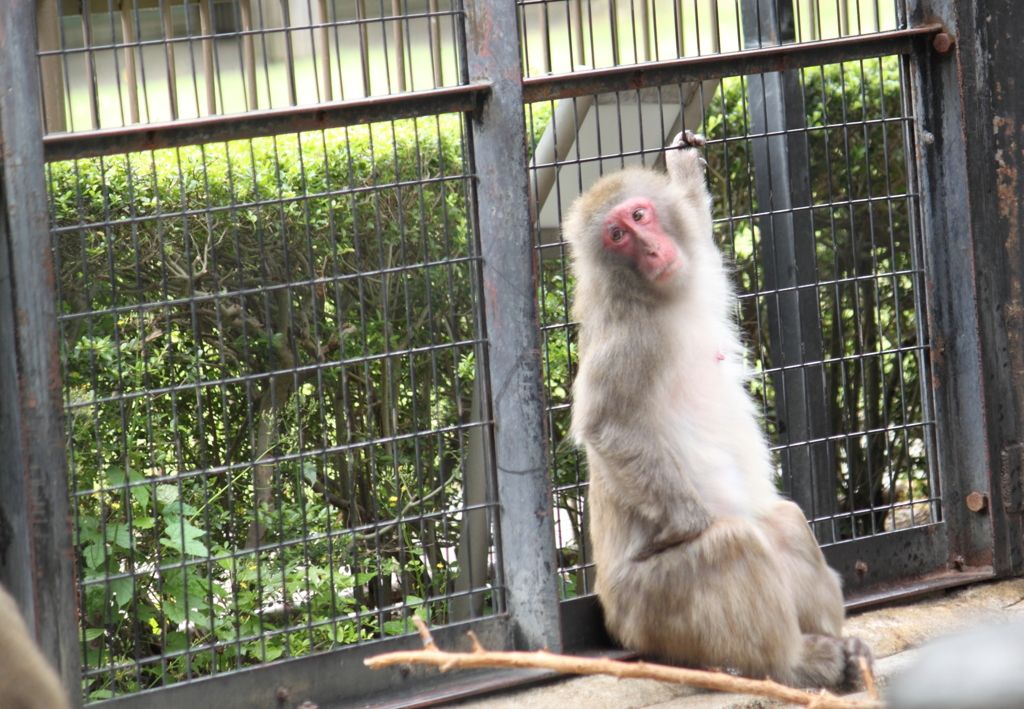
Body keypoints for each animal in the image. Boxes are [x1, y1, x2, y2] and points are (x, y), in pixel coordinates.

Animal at [569, 131, 872, 688]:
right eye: (617, 236)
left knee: (783, 522)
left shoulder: (698, 269)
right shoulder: (630, 334)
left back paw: (839, 650)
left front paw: (684, 168)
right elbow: (607, 425)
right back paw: (792, 663)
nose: (651, 248)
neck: (659, 297)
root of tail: (617, 625)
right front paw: (686, 523)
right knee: (732, 544)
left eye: (640, 216)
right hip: (649, 610)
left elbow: (700, 230)